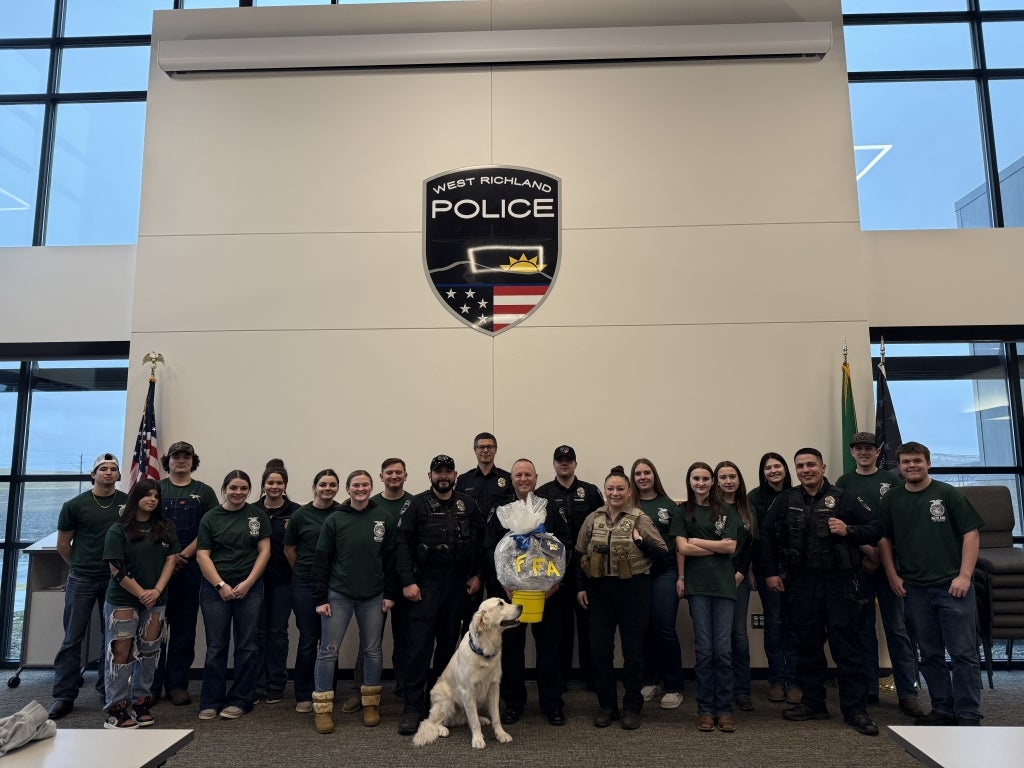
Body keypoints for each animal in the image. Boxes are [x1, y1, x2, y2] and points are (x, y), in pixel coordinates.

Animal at [409, 593, 520, 753]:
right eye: (500, 604)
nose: (521, 606)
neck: (484, 651)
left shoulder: (494, 688)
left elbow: (496, 717)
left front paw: (501, 734)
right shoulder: (468, 691)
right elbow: (473, 721)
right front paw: (478, 739)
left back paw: (483, 719)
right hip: (446, 702)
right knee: (430, 721)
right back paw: (442, 729)